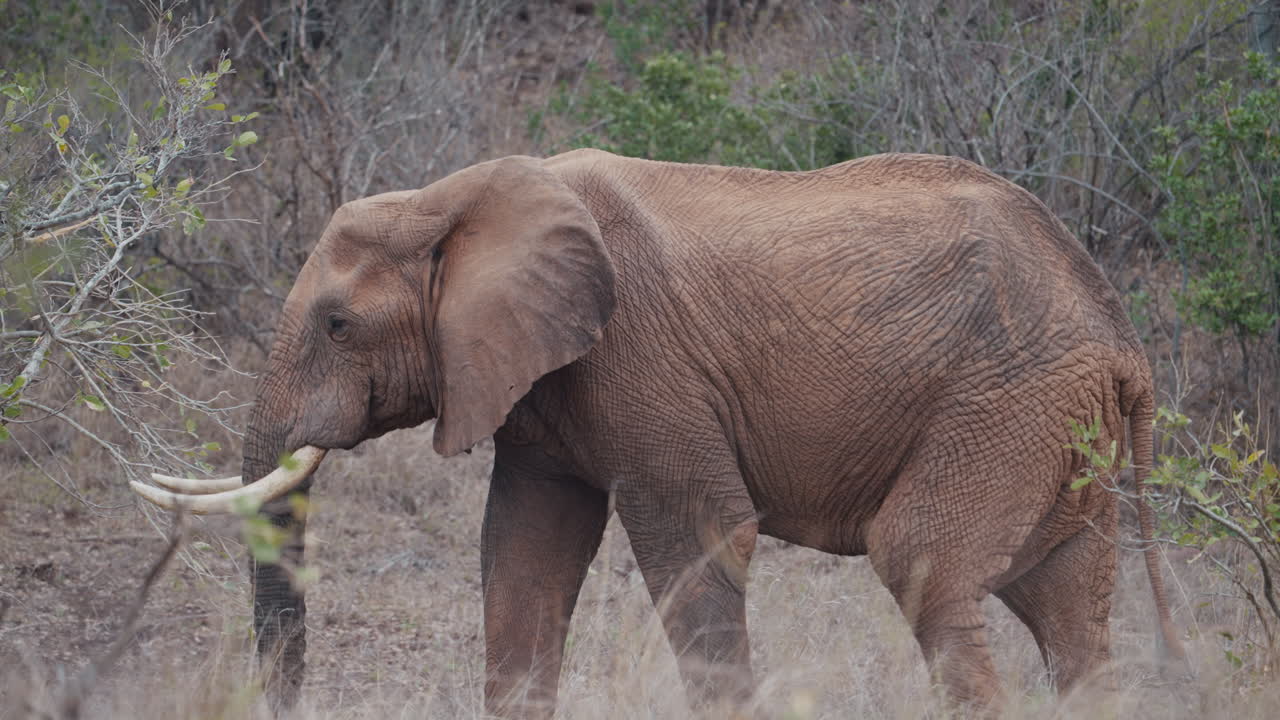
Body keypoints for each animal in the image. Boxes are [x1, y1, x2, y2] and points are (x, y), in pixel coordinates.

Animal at [134, 149, 1185, 716]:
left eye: (338, 325)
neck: (457, 196)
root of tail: (1122, 336)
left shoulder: (641, 357)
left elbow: (700, 539)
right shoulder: (544, 384)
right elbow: (524, 556)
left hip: (1010, 400)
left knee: (926, 560)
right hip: (1059, 425)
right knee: (1067, 609)